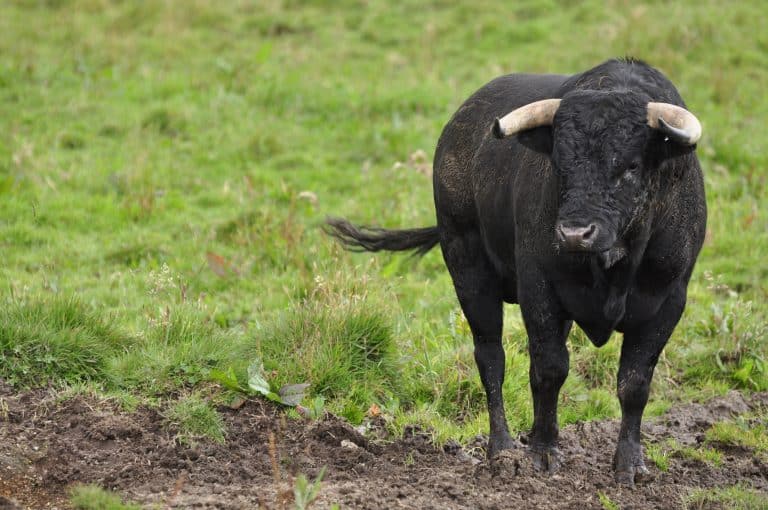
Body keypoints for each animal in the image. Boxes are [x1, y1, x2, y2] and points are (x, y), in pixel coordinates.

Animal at [328, 57, 704, 484]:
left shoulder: (668, 300)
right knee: (491, 357)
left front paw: (629, 464)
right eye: (559, 164)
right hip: (468, 269)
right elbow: (549, 368)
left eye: (631, 165)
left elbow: (635, 383)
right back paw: (503, 448)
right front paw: (542, 450)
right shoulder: (538, 287)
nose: (574, 233)